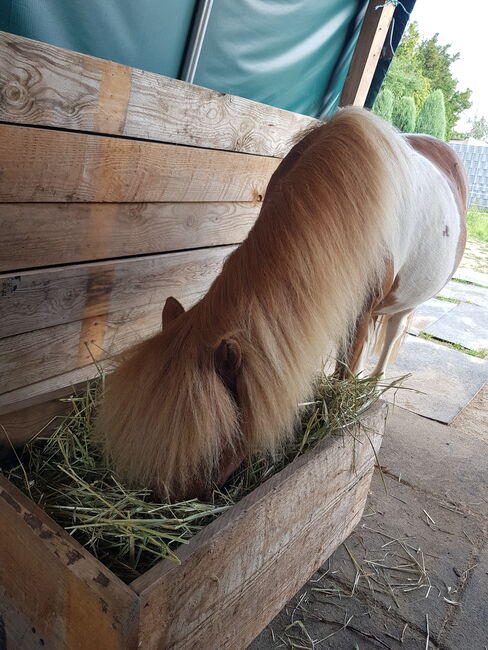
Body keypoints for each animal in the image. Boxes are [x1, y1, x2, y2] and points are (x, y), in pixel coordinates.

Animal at [97, 109, 468, 498]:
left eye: (213, 447)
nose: (164, 500)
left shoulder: (362, 313)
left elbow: (345, 372)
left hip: (407, 303)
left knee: (393, 335)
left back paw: (370, 389)